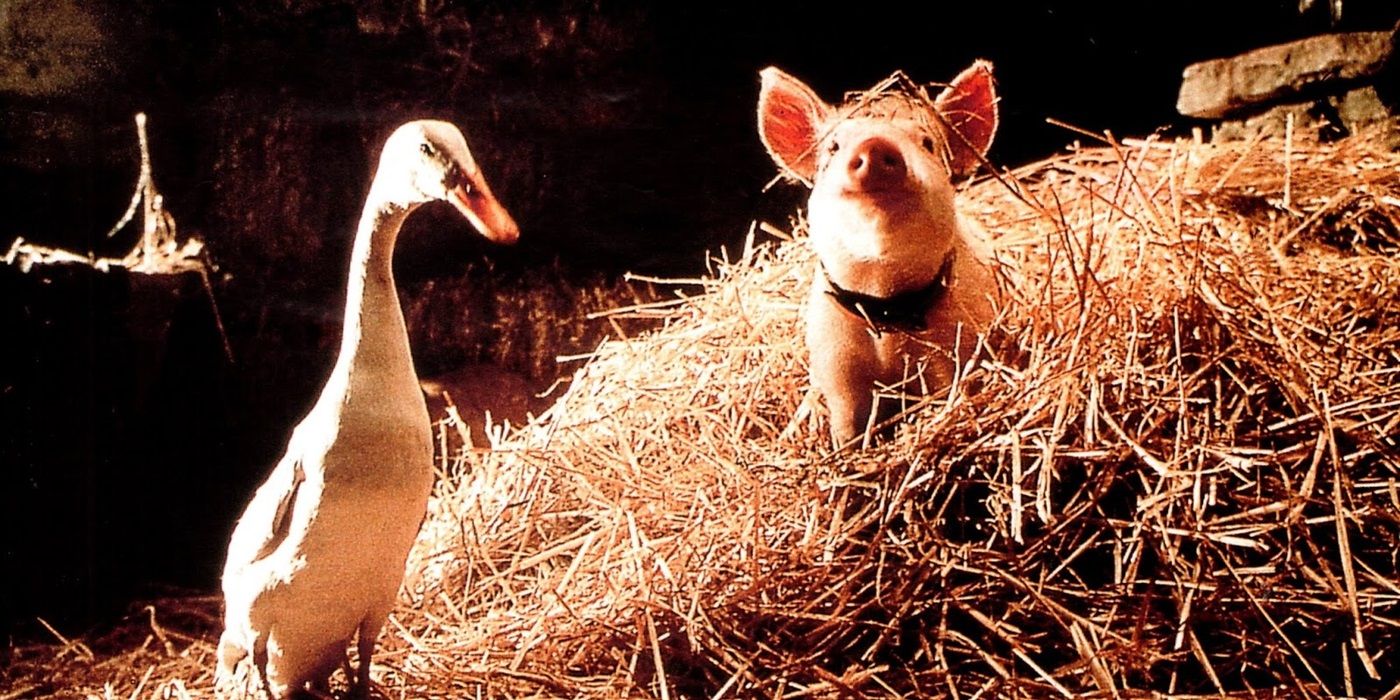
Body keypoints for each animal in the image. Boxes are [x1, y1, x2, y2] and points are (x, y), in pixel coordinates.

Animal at [761, 61, 1002, 448]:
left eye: (927, 143)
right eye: (834, 147)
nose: (875, 145)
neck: (886, 305)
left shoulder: (955, 350)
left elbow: (947, 395)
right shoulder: (837, 367)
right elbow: (845, 427)